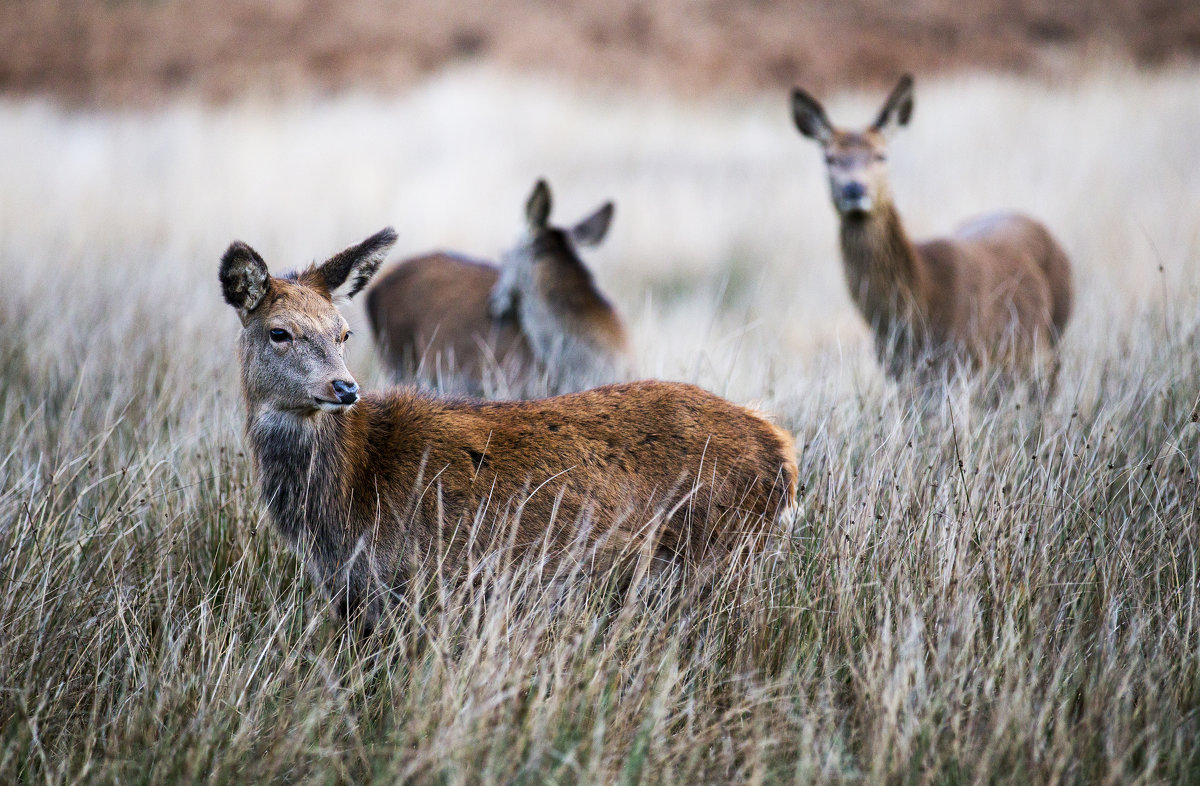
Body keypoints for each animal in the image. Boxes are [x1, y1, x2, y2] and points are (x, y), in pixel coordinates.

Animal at [792, 74, 1075, 396]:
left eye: (881, 155)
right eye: (829, 158)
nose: (854, 188)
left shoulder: (964, 358)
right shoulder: (897, 369)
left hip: (1057, 324)